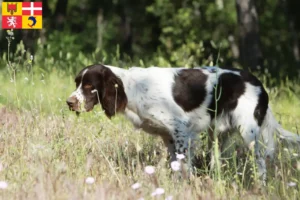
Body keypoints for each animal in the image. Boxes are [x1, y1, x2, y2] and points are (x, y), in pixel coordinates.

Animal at [66, 64, 300, 183]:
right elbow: (175, 165)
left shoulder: (181, 131)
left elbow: (183, 165)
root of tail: (258, 83)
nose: (69, 102)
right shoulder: (168, 136)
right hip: (218, 135)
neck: (133, 87)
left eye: (89, 86)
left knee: (260, 163)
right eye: (77, 83)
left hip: (248, 132)